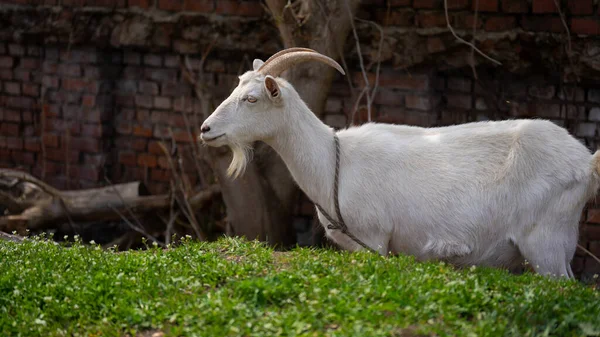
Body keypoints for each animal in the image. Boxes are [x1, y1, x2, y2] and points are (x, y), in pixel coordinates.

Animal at [200, 48, 600, 278]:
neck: (333, 160)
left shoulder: (373, 240)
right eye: (237, 87)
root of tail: (586, 162)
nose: (206, 129)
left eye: (252, 98)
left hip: (547, 241)